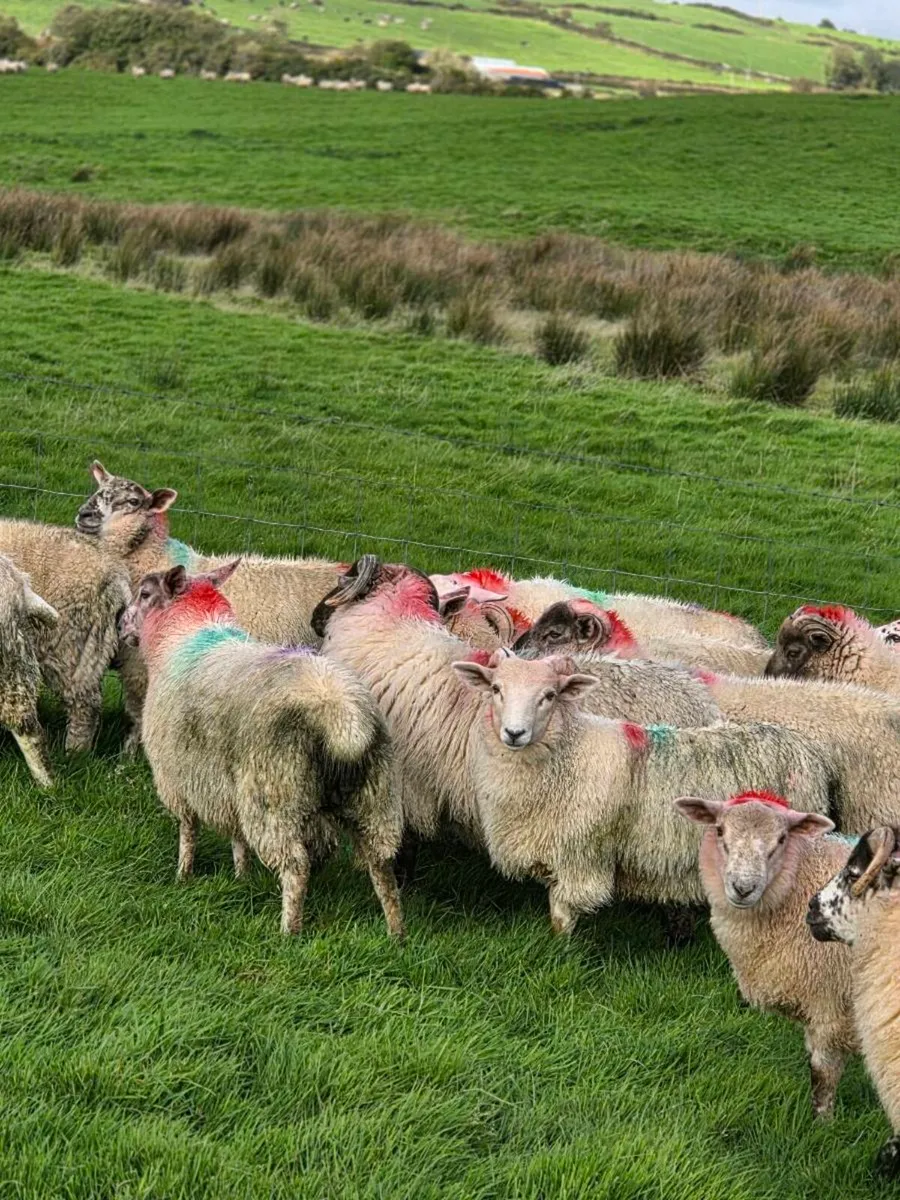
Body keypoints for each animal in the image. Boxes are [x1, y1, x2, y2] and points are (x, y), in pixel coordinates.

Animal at [75, 461, 344, 746]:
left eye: (133, 501)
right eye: (98, 489)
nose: (85, 515)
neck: (156, 560)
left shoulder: (142, 668)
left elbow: (140, 715)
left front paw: (129, 750)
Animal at [120, 561, 404, 939]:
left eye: (145, 594)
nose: (121, 625)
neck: (182, 636)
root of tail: (343, 723)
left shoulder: (180, 774)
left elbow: (188, 830)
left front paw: (183, 874)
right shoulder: (226, 786)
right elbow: (237, 836)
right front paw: (242, 876)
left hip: (274, 793)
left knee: (296, 866)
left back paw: (289, 930)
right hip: (375, 796)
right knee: (381, 865)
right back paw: (396, 932)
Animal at [452, 651, 833, 934]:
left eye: (549, 696)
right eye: (496, 689)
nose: (514, 733)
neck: (568, 753)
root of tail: (806, 750)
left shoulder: (580, 855)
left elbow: (562, 915)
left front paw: (560, 952)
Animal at [676, 793, 855, 1118]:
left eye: (782, 838)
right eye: (719, 830)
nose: (743, 888)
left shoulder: (831, 1004)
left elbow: (822, 1076)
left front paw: (823, 1122)